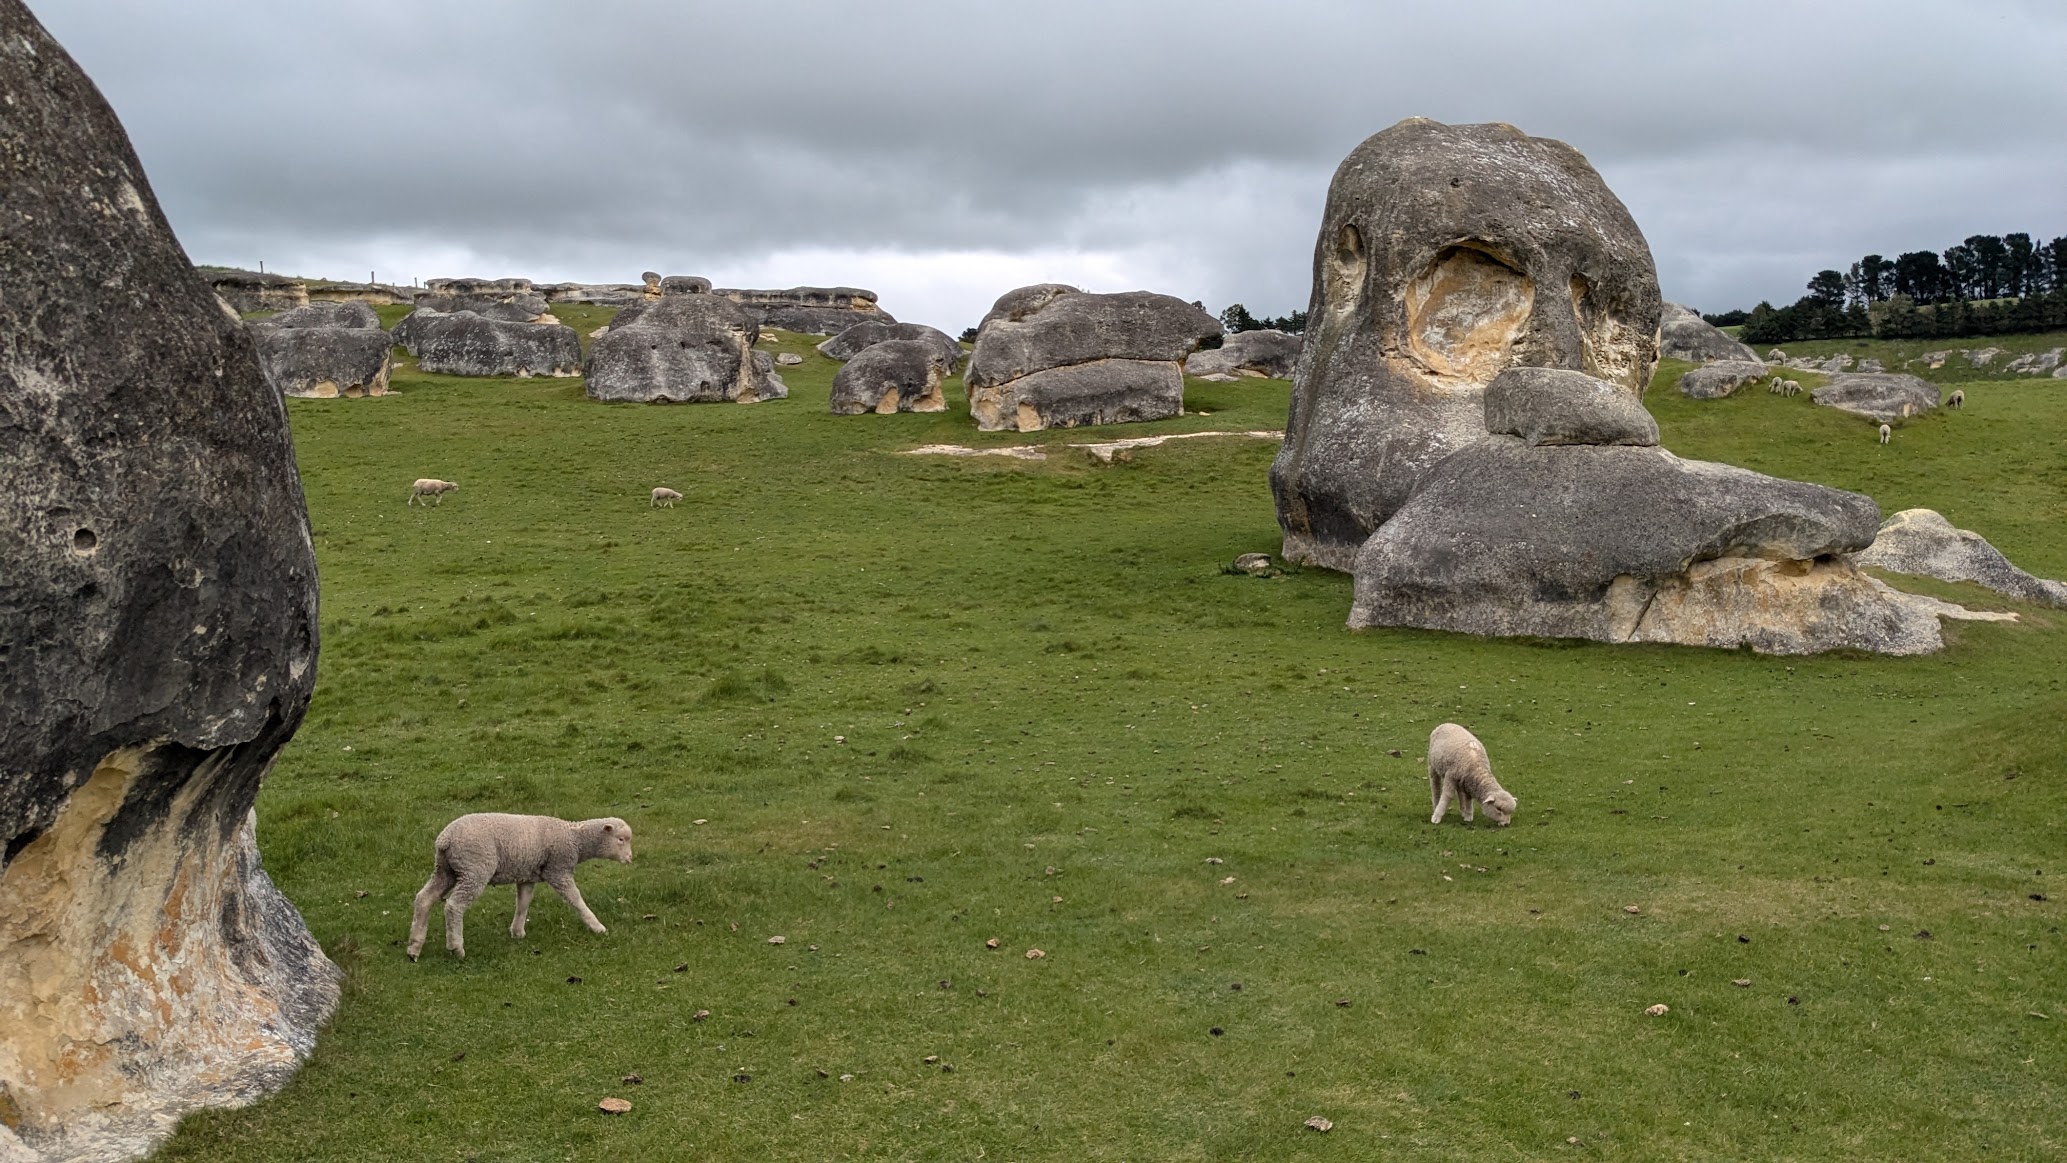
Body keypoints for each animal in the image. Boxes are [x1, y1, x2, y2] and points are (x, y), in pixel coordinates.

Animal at [403, 809, 628, 966]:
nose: (629, 859)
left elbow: (523, 903)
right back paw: (456, 947)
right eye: (620, 839)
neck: (574, 839)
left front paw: (517, 931)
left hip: (446, 870)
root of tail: (445, 839)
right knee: (453, 906)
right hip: (474, 869)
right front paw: (597, 926)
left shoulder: (527, 875)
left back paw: (414, 947)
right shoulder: (558, 870)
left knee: (424, 899)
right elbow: (576, 899)